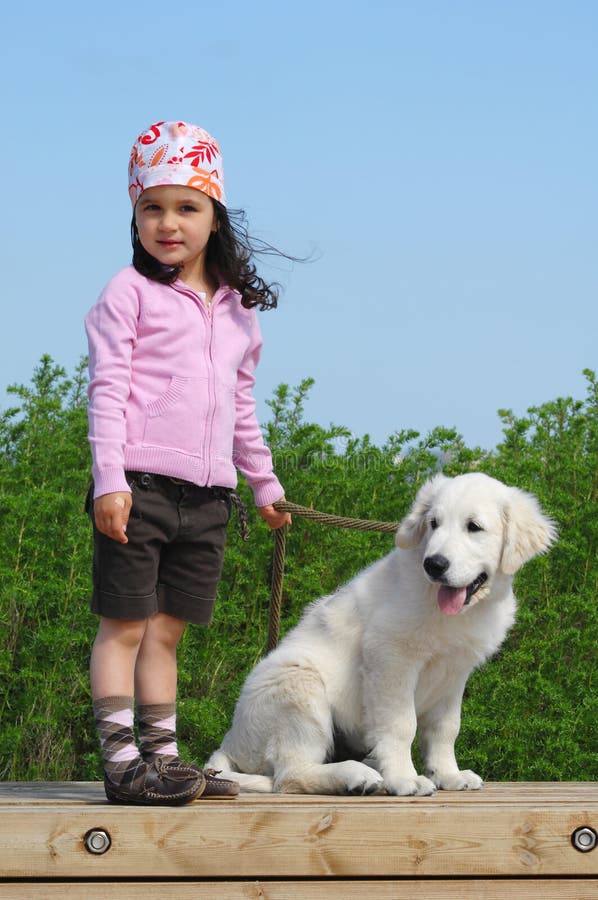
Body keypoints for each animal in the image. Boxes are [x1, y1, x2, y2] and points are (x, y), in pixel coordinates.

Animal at [209, 472, 560, 796]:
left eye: (473, 527)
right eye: (434, 523)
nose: (434, 565)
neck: (458, 612)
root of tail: (230, 743)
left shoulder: (454, 673)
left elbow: (446, 728)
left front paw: (448, 774)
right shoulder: (391, 656)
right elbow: (401, 725)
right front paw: (404, 778)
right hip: (298, 686)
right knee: (289, 776)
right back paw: (355, 776)